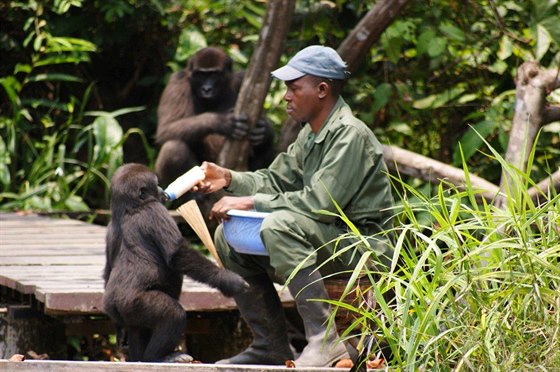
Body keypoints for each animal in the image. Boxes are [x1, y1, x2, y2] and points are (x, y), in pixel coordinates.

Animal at [103, 164, 247, 362]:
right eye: (155, 184)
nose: (162, 190)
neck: (129, 208)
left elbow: (108, 269)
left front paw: (120, 333)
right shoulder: (156, 211)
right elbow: (177, 255)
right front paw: (228, 280)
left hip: (119, 311)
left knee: (136, 327)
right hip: (132, 304)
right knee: (173, 315)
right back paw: (158, 357)